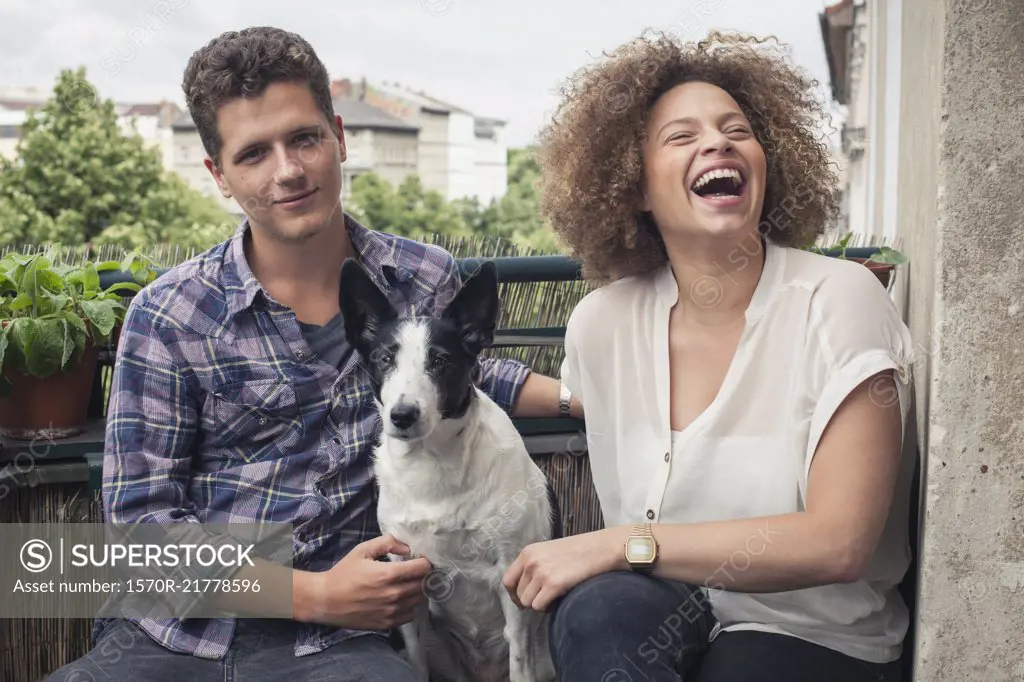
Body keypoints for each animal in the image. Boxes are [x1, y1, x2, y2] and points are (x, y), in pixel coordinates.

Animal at [339, 256, 557, 679]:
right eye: (384, 360)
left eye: (440, 361)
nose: (402, 416)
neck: (433, 462)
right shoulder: (405, 574)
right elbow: (414, 651)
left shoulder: (514, 575)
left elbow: (519, 653)